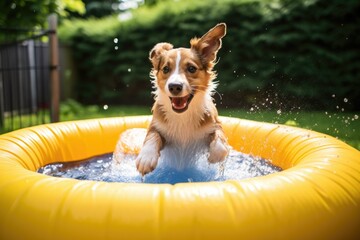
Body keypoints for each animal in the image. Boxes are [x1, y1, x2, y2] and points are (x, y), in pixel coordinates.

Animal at [136, 23, 229, 176]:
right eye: (165, 69)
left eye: (191, 68)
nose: (174, 86)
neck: (183, 116)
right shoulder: (156, 125)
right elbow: (152, 136)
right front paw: (146, 157)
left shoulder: (215, 124)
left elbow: (220, 142)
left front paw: (215, 155)